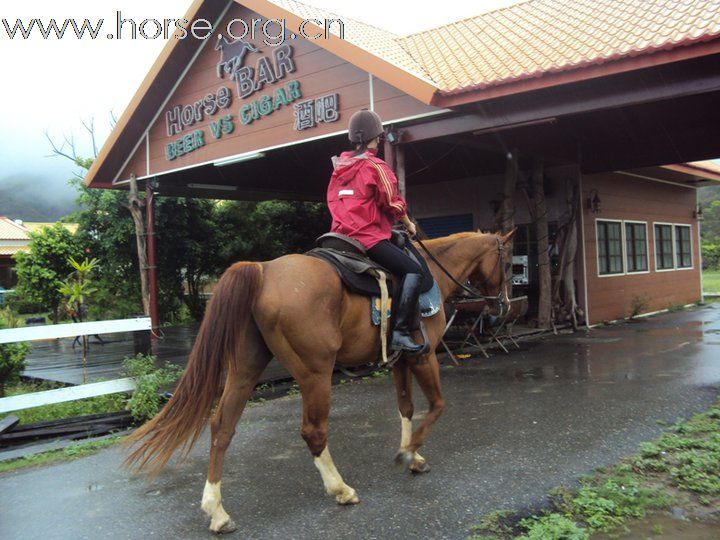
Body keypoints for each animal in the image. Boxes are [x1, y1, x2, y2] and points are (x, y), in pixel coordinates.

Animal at [124, 231, 512, 532]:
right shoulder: (423, 355)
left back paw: (217, 512)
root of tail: (263, 269)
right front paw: (408, 453)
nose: (502, 305)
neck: (431, 271)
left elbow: (406, 407)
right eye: (508, 262)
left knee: (222, 428)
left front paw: (413, 455)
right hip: (316, 373)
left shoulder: (401, 359)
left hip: (245, 369)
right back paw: (340, 489)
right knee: (313, 431)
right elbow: (437, 406)